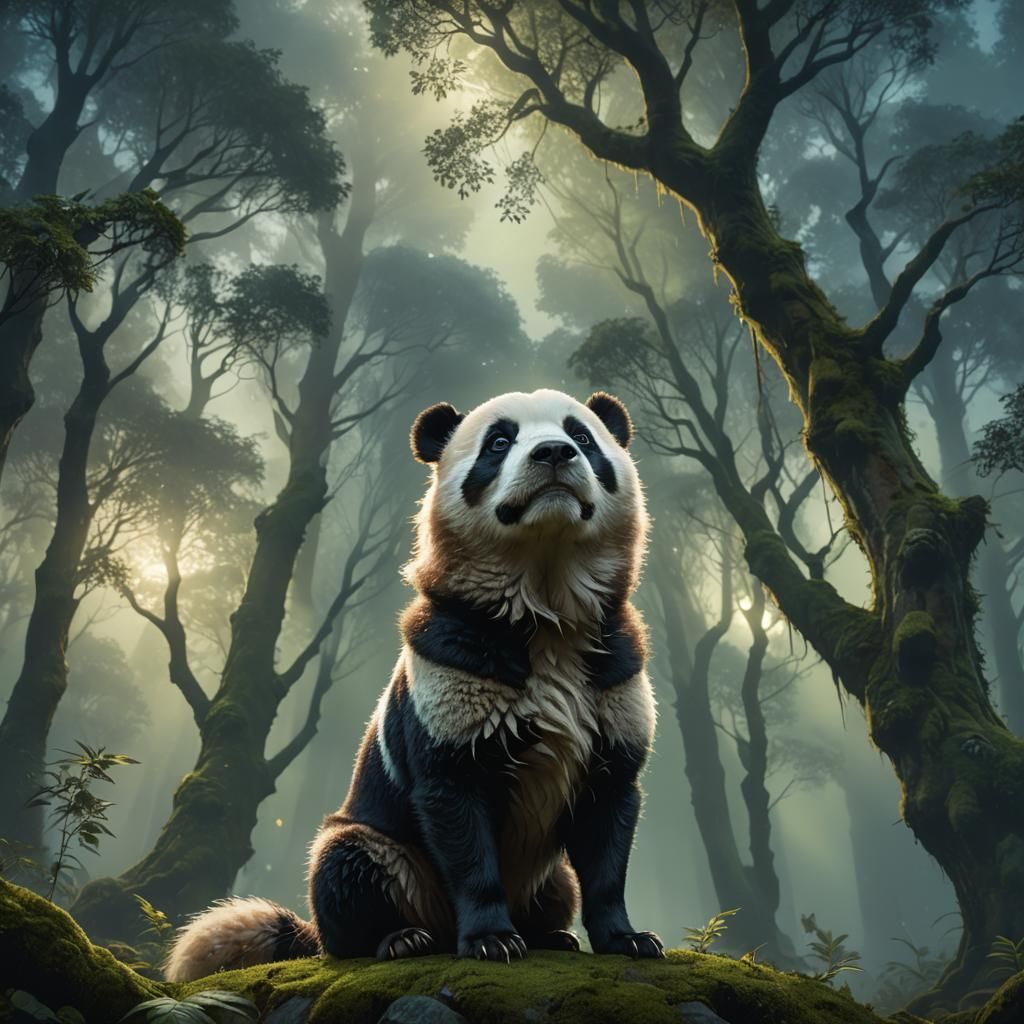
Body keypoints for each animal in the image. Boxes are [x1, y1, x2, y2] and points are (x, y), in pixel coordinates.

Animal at [165, 388, 661, 981]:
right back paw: (400, 938)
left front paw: (627, 939)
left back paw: (551, 934)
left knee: (559, 885)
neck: (546, 606)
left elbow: (609, 822)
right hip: (388, 853)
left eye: (582, 436)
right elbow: (457, 810)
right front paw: (492, 940)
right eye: (499, 442)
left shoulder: (611, 681)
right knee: (346, 869)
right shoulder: (452, 674)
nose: (555, 452)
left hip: (546, 872)